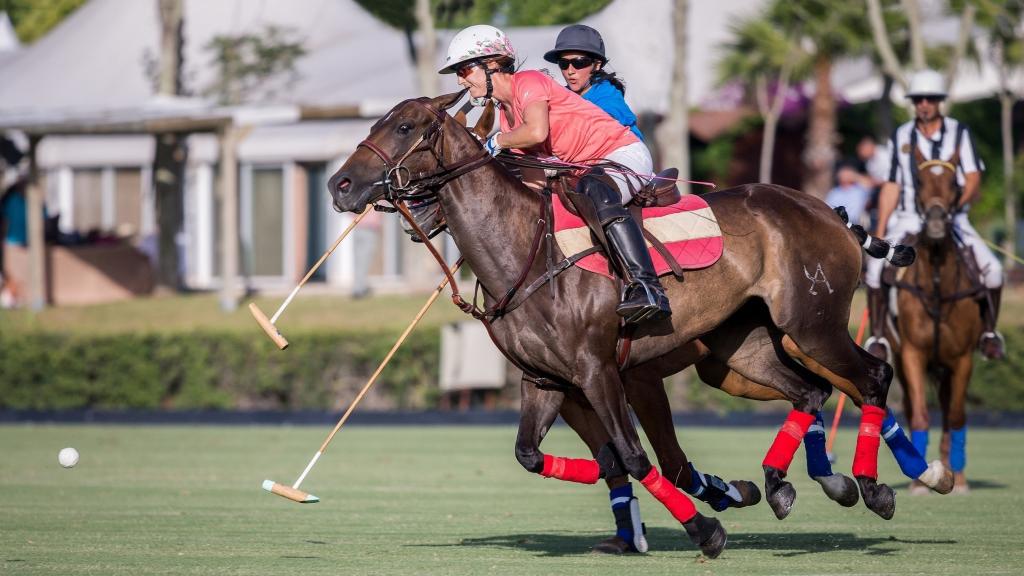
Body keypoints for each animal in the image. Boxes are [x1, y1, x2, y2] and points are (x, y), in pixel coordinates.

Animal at [329, 91, 905, 553]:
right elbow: (538, 455)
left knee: (871, 377)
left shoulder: (600, 370)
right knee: (811, 392)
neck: (524, 252)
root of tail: (830, 212)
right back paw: (788, 484)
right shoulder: (546, 380)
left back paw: (872, 487)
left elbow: (634, 455)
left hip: (812, 326)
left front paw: (706, 529)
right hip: (744, 351)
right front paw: (682, 507)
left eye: (405, 127)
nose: (340, 185)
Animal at [880, 145, 983, 491]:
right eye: (920, 182)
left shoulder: (962, 359)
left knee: (952, 412)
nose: (937, 224)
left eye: (954, 184)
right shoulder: (913, 353)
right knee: (916, 409)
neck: (937, 281)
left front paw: (959, 479)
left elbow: (956, 416)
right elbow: (921, 415)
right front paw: (920, 483)